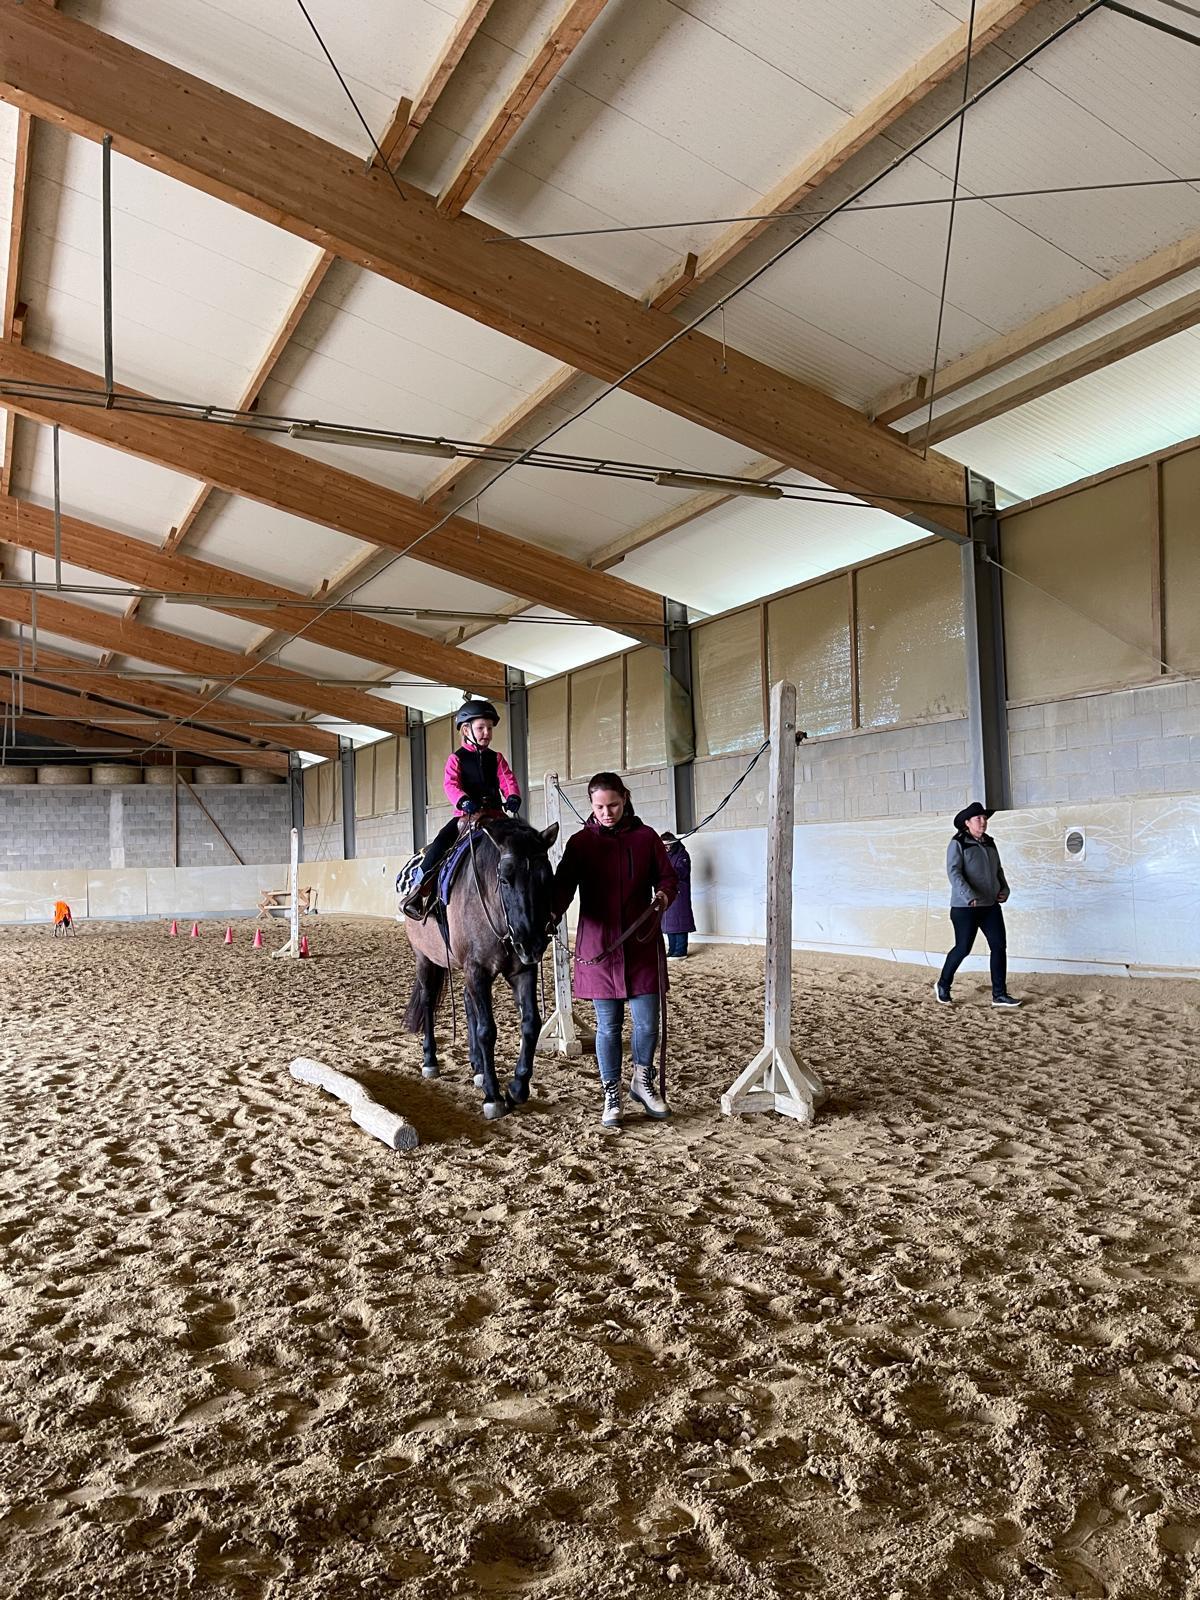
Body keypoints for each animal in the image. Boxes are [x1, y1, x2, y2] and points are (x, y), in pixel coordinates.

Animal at [401, 814, 559, 1119]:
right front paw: (493, 1096)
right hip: (424, 958)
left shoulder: (521, 970)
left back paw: (477, 1067)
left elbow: (531, 1023)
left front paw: (517, 1088)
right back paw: (430, 1060)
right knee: (427, 1001)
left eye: (547, 878)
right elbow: (488, 1030)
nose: (532, 943)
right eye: (505, 879)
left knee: (466, 1001)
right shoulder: (477, 970)